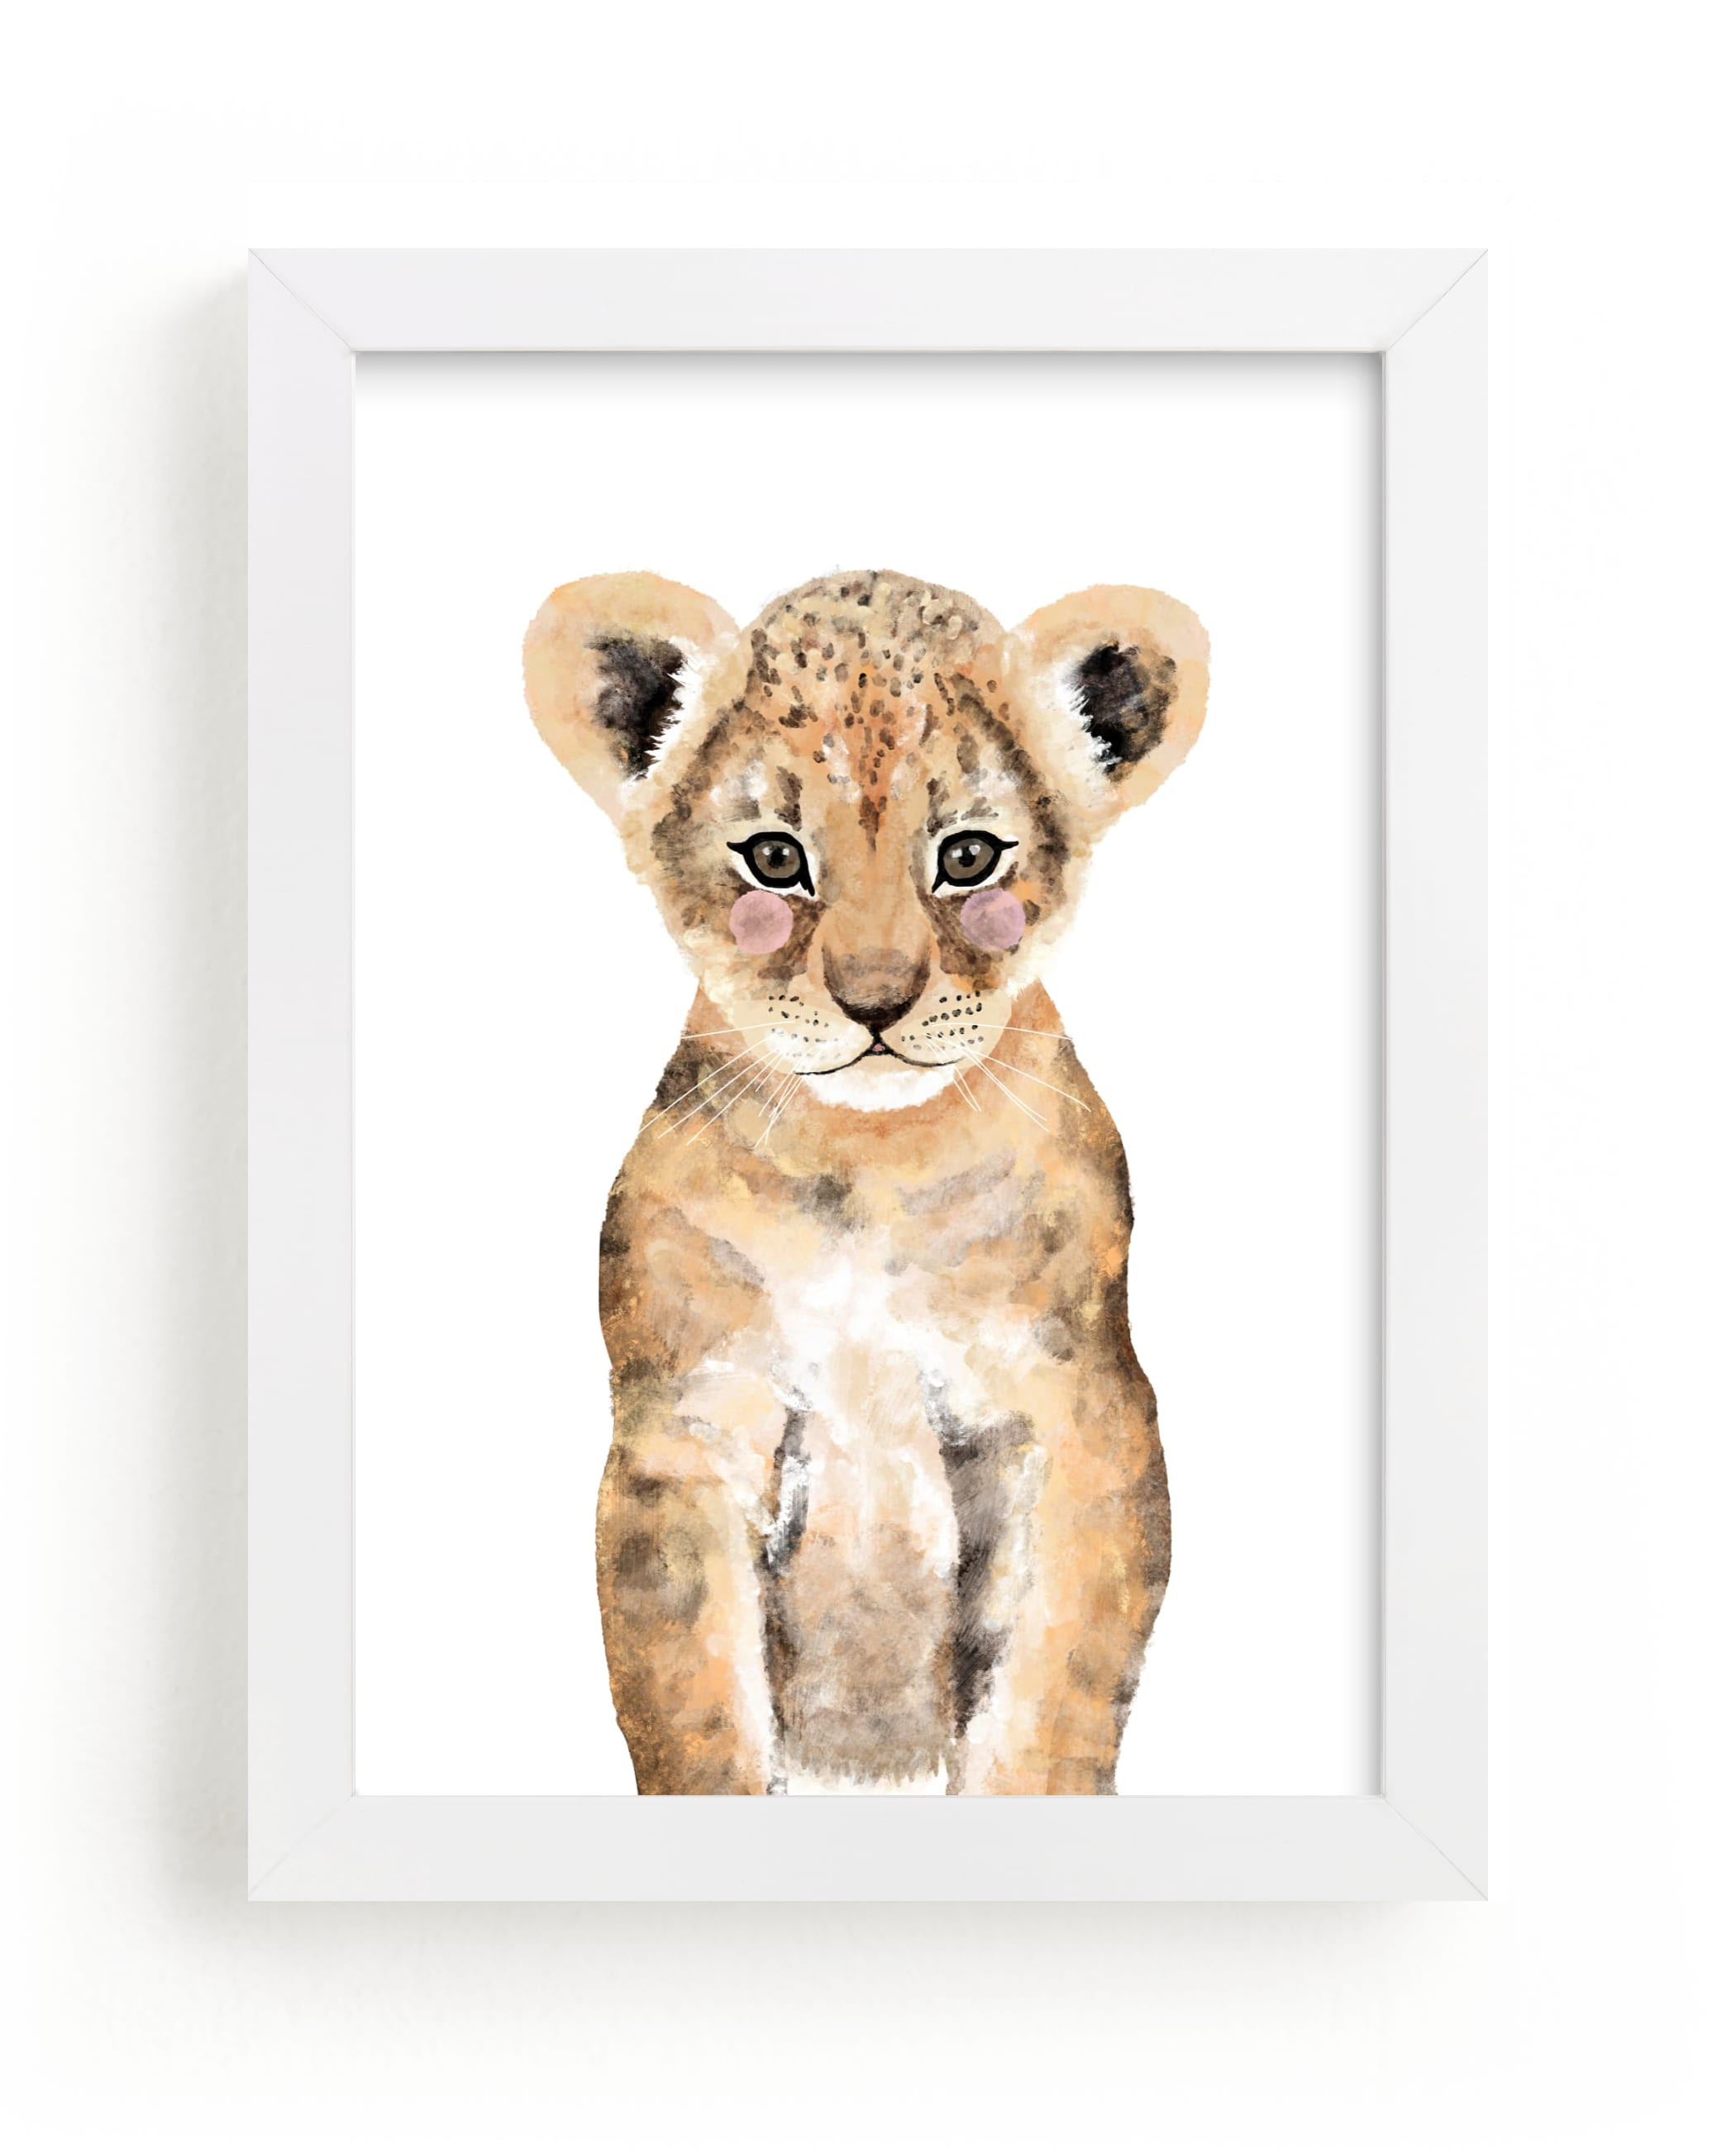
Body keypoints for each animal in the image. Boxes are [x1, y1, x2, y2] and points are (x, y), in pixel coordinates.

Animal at [522, 569, 1208, 1794]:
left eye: (970, 857)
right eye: (776, 859)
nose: (878, 1001)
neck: (869, 1160)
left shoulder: (1079, 1409)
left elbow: (1054, 1689)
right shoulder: (687, 1429)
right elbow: (694, 1704)